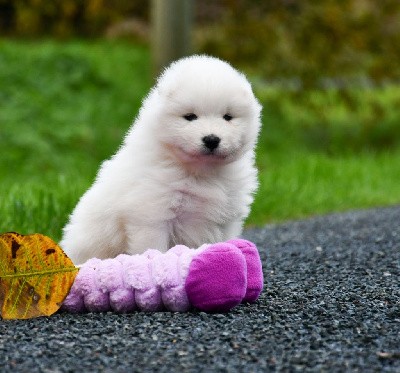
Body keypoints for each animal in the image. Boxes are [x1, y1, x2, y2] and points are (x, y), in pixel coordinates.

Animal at [61, 56, 262, 264]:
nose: (212, 139)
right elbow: (154, 248)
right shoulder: (152, 216)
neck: (199, 172)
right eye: (190, 117)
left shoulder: (227, 219)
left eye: (228, 117)